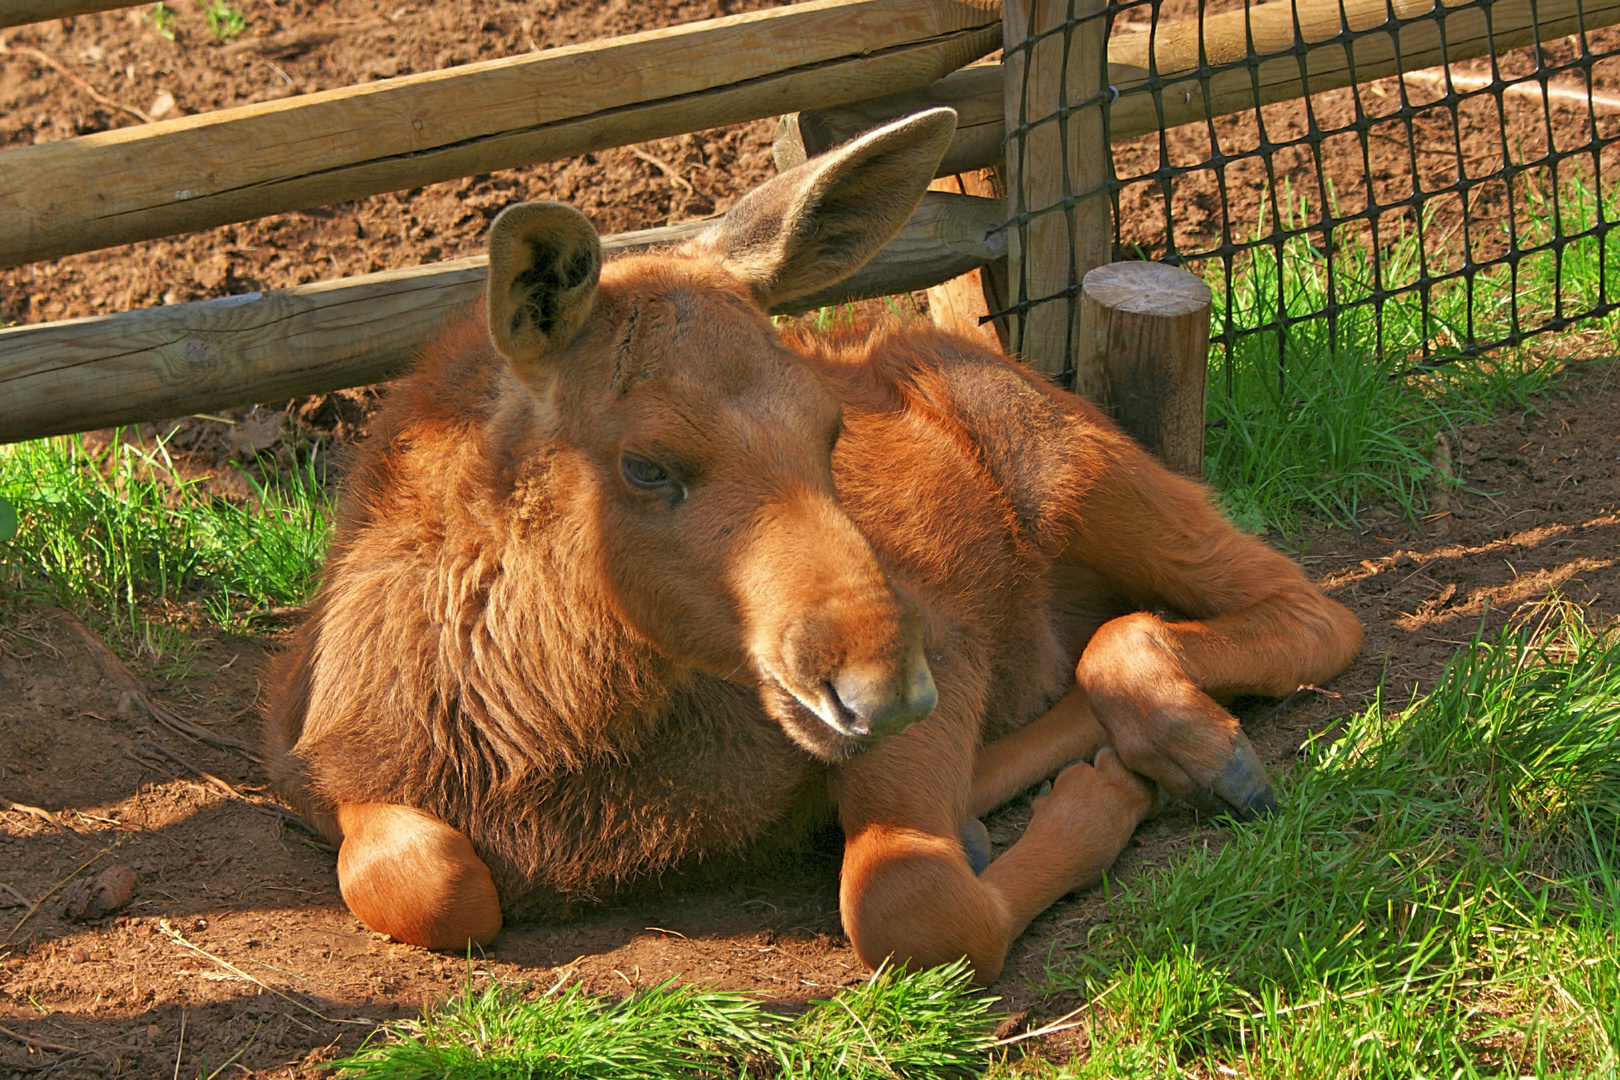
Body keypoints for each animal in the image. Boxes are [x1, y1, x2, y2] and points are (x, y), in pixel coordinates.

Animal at [262, 105, 1354, 984]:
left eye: (828, 430)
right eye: (645, 465)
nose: (884, 684)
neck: (552, 732)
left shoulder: (948, 643)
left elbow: (914, 908)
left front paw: (1090, 801)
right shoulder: (321, 774)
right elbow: (430, 878)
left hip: (1081, 471)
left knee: (1299, 609)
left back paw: (1185, 749)